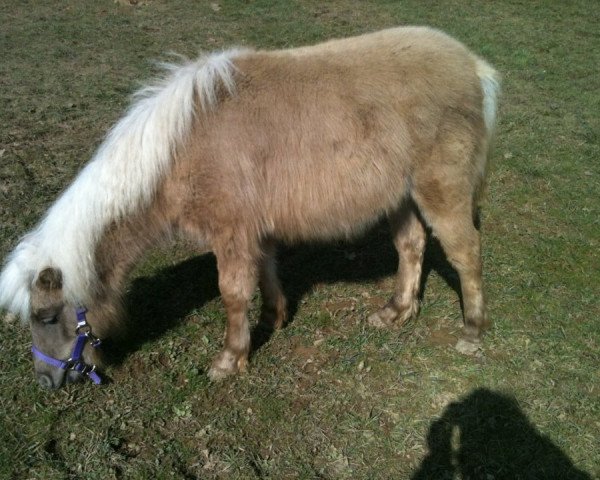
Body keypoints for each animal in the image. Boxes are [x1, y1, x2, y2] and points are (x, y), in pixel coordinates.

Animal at [0, 26, 496, 388]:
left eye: (47, 317)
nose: (45, 381)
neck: (179, 149)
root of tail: (473, 66)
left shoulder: (231, 232)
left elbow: (234, 293)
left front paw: (230, 359)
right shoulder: (256, 229)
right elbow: (266, 270)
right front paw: (276, 317)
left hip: (441, 190)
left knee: (465, 253)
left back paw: (472, 331)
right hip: (402, 196)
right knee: (411, 246)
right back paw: (396, 312)